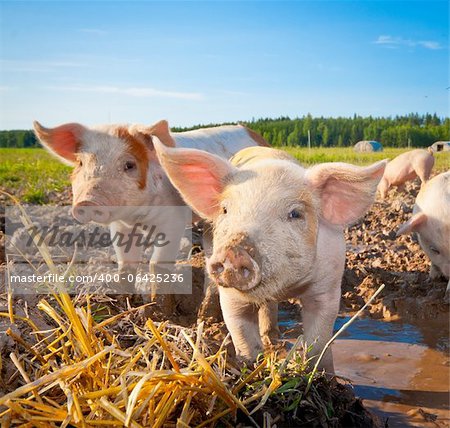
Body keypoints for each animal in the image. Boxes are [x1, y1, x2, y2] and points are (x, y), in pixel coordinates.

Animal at [153, 142, 384, 372]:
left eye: (295, 214)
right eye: (225, 209)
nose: (234, 252)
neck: (286, 287)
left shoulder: (328, 286)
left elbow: (319, 339)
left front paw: (323, 374)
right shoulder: (231, 297)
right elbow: (241, 332)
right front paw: (251, 365)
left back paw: (272, 335)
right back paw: (207, 318)